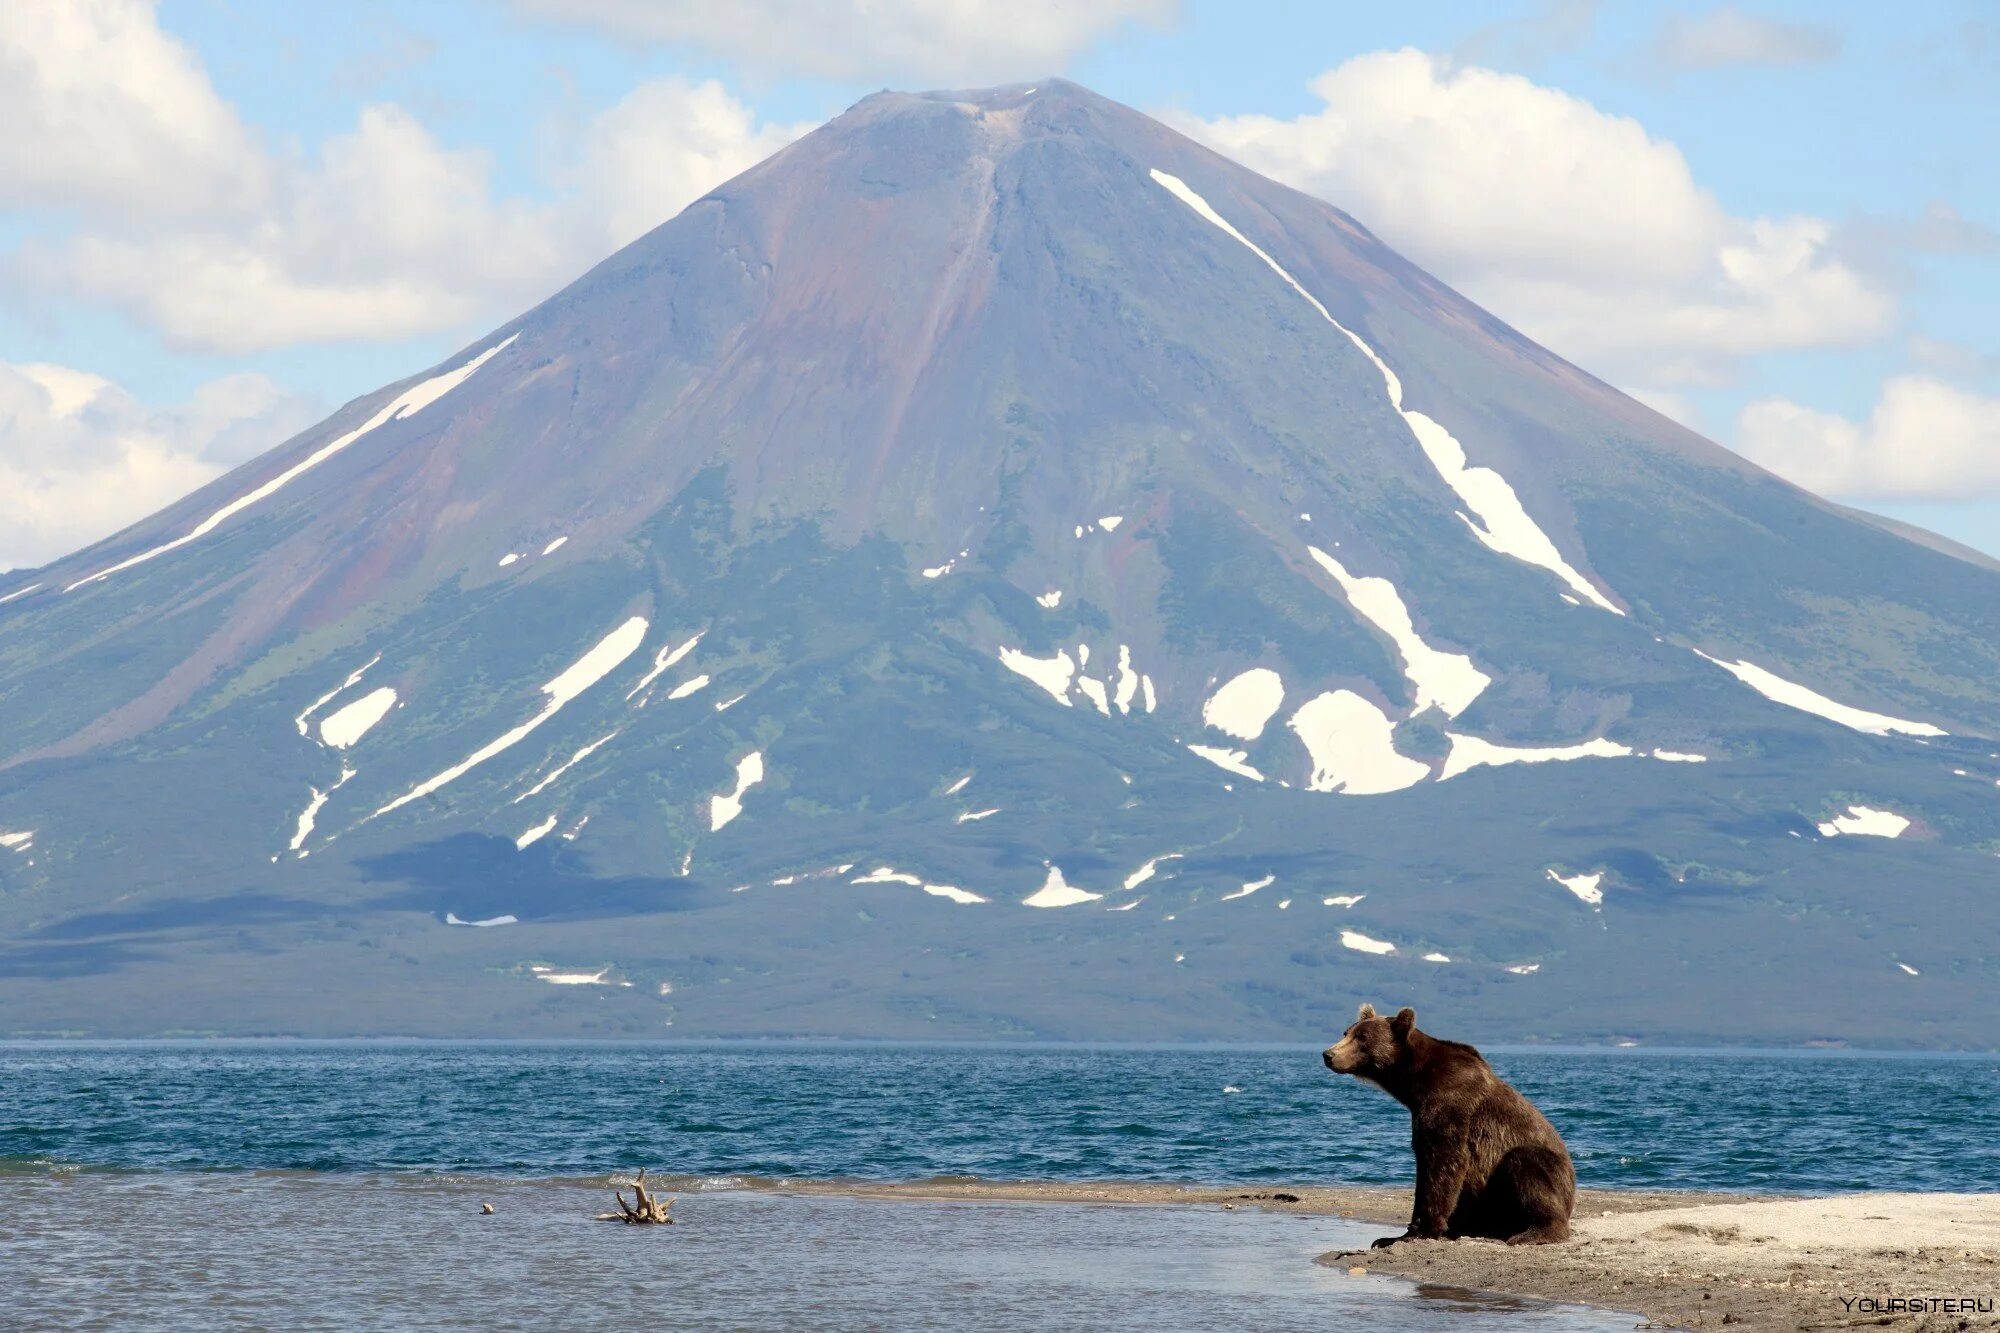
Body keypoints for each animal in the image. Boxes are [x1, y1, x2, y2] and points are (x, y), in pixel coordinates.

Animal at [1328, 1000, 1576, 1240]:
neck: (1414, 1082)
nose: (1328, 1055)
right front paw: (1399, 1234)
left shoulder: (1451, 1102)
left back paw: (1533, 1232)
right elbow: (1425, 1163)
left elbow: (1444, 1161)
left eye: (1362, 1037)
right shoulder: (1421, 1113)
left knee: (1526, 1166)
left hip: (1543, 1174)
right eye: (1346, 1032)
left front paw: (1421, 1230)